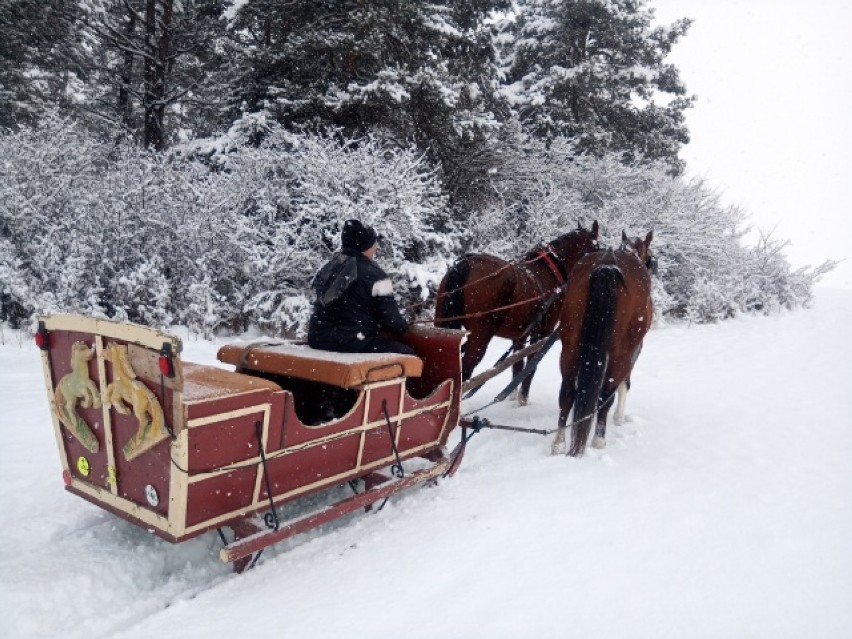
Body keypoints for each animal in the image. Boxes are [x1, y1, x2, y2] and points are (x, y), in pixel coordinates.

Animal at [432, 224, 600, 404]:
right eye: (597, 249)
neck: (551, 272)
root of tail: (466, 264)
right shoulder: (542, 332)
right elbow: (530, 367)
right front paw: (523, 399)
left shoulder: (520, 335)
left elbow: (517, 365)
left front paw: (511, 399)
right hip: (480, 335)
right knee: (466, 369)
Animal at [548, 230, 656, 456]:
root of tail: (608, 265)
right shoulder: (634, 350)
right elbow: (625, 384)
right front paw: (619, 418)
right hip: (621, 350)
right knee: (606, 392)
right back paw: (598, 439)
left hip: (570, 345)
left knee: (567, 392)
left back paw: (559, 442)